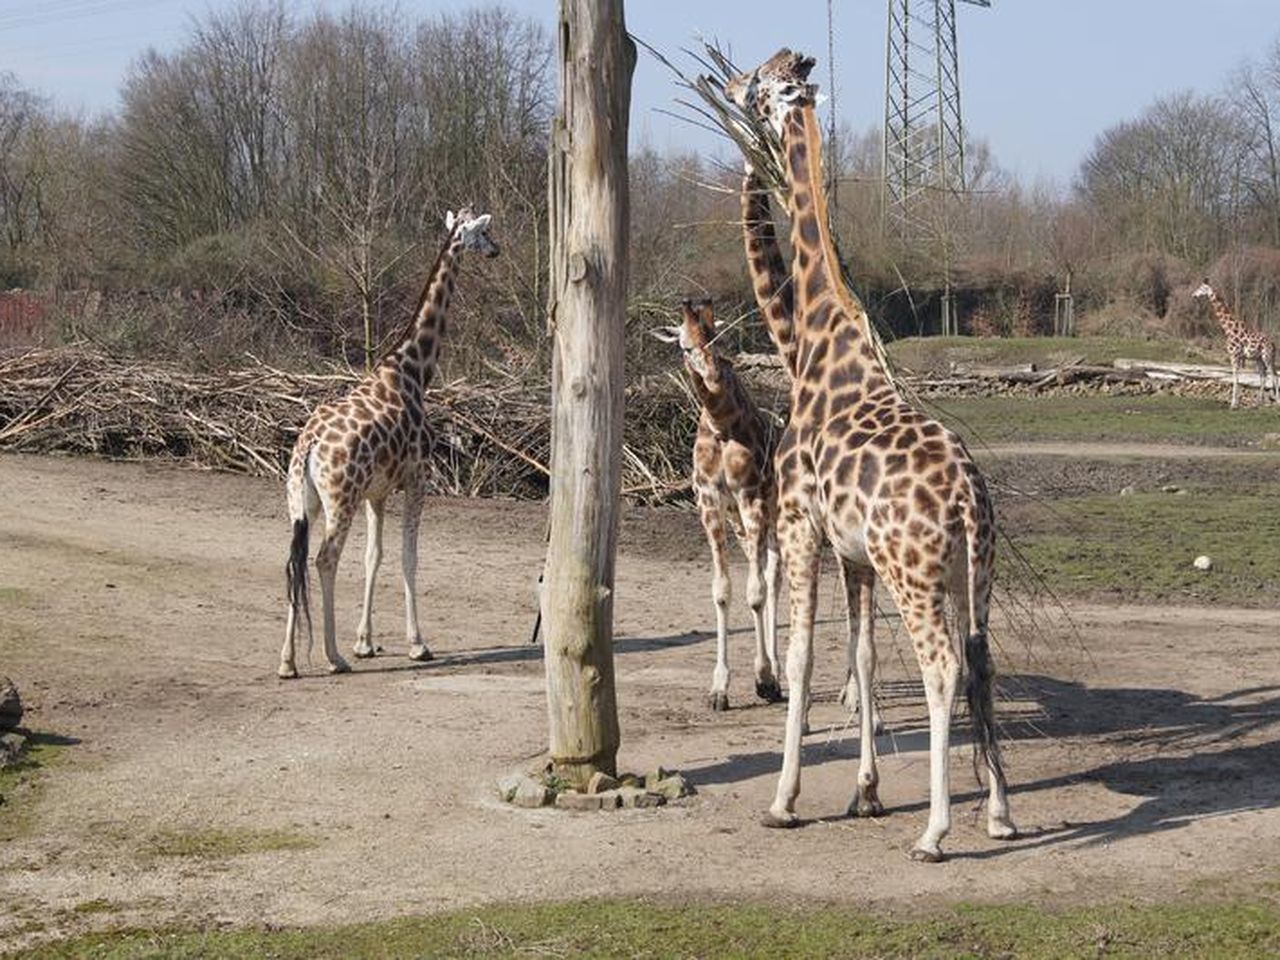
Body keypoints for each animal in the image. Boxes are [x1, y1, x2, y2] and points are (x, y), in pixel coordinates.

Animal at [280, 207, 499, 680]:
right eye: (485, 231)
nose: (496, 250)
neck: (413, 370)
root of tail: (309, 448)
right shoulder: (418, 481)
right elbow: (407, 556)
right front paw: (418, 644)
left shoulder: (376, 493)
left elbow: (374, 556)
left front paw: (365, 642)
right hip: (339, 500)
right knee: (323, 559)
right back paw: (333, 658)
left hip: (302, 502)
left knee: (294, 559)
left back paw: (288, 662)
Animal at [655, 300, 783, 716]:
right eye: (684, 345)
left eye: (717, 337)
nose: (711, 377)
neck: (722, 424)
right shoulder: (711, 503)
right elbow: (723, 591)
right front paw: (720, 688)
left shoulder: (750, 496)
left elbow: (754, 592)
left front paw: (764, 680)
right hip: (753, 525)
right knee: (775, 576)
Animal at [727, 47, 1013, 865]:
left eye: (761, 83)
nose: (728, 85)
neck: (821, 340)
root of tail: (967, 498)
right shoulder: (852, 552)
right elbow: (859, 657)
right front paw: (865, 792)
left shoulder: (801, 526)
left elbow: (802, 657)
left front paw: (784, 800)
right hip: (969, 570)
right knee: (981, 660)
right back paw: (999, 813)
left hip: (911, 570)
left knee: (943, 666)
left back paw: (937, 832)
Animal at [1187, 280, 1280, 412]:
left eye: (1202, 288)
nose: (1194, 295)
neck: (1228, 329)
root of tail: (1273, 344)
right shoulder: (1238, 356)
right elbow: (1237, 377)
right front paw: (1236, 403)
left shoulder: (1234, 355)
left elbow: (1235, 377)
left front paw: (1233, 405)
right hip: (1259, 358)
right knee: (1263, 376)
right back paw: (1258, 403)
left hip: (1267, 356)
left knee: (1274, 375)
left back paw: (1277, 402)